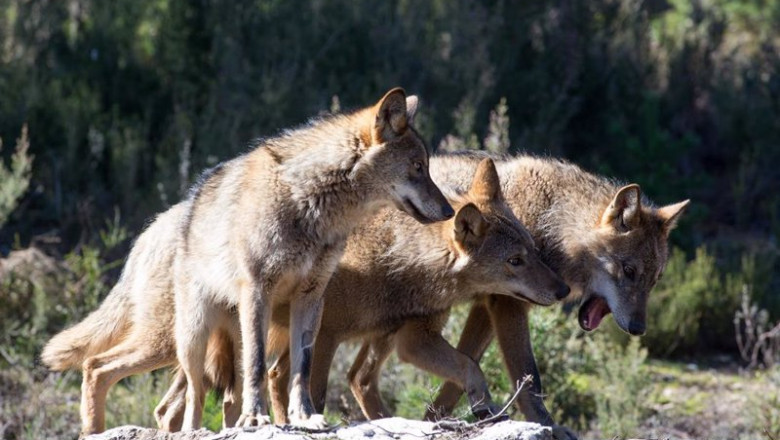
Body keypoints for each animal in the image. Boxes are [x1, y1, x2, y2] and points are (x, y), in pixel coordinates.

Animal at [42, 88, 454, 435]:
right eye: (418, 167)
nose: (450, 211)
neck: (310, 204)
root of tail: (151, 230)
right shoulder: (259, 290)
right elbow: (258, 366)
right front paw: (256, 419)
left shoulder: (311, 298)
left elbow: (301, 369)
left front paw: (305, 417)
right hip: (184, 339)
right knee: (113, 372)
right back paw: (120, 431)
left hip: (214, 339)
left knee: (196, 397)